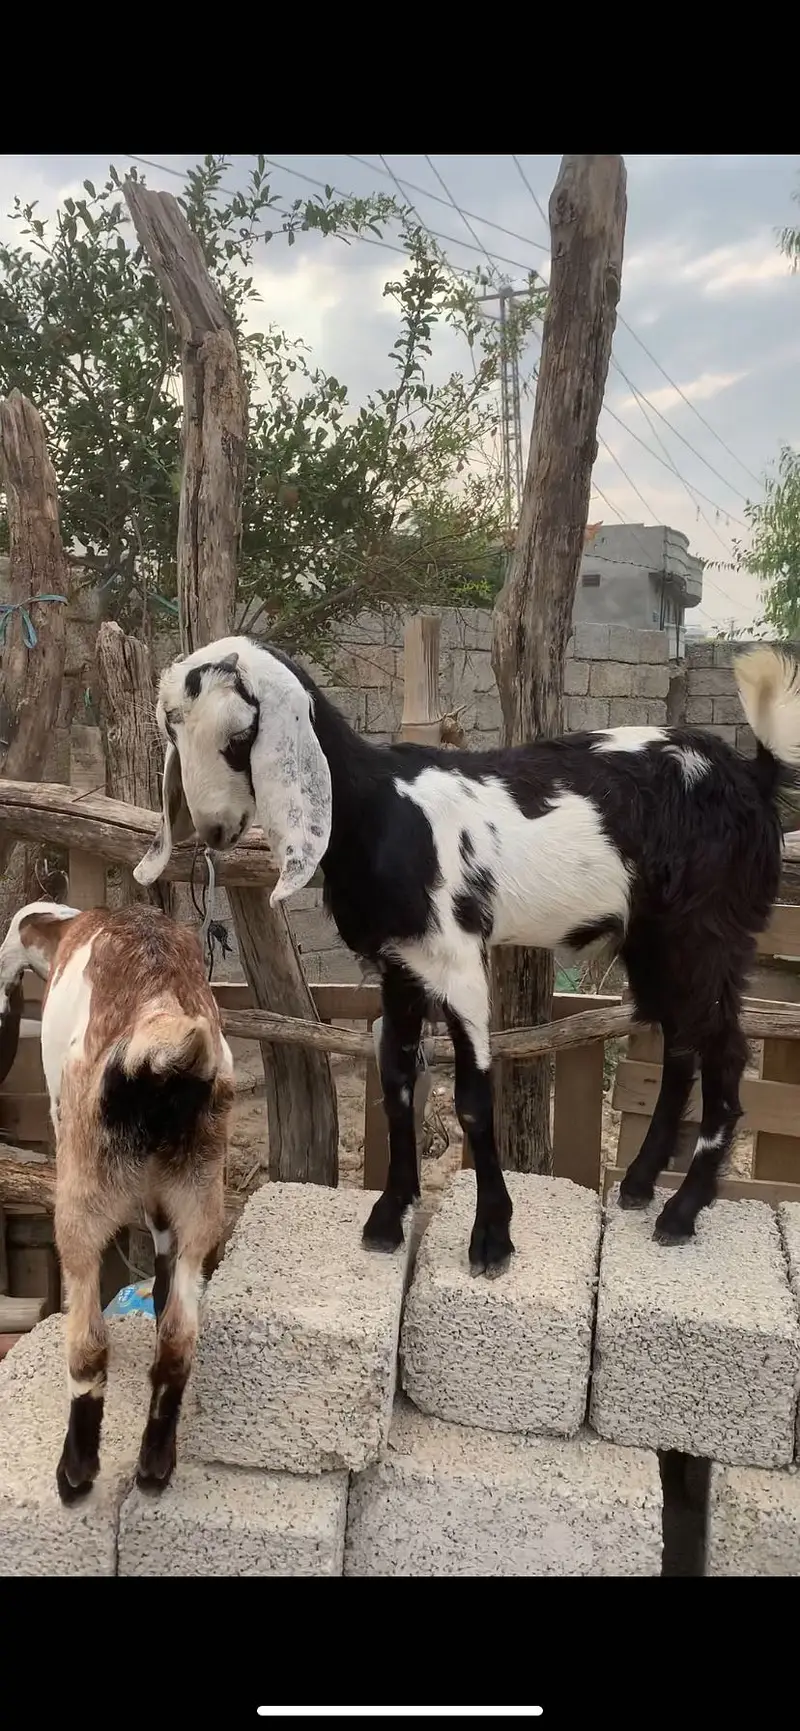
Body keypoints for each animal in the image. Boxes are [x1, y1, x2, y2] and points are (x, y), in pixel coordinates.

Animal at [0, 902, 233, 1503]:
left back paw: (76, 1473)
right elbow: (164, 1278)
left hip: (81, 1198)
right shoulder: (166, 1207)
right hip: (201, 1194)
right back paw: (155, 1466)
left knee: (87, 1345)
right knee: (178, 1340)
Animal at [133, 636, 800, 1271]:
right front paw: (387, 1219)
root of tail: (753, 776)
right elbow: (397, 1083)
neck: (379, 809)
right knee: (682, 1045)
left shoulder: (456, 962)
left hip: (708, 932)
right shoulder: (398, 965)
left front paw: (492, 1238)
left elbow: (475, 1101)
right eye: (173, 728)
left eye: (241, 736)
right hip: (656, 940)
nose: (214, 830)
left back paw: (682, 1211)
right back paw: (639, 1184)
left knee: (724, 1051)